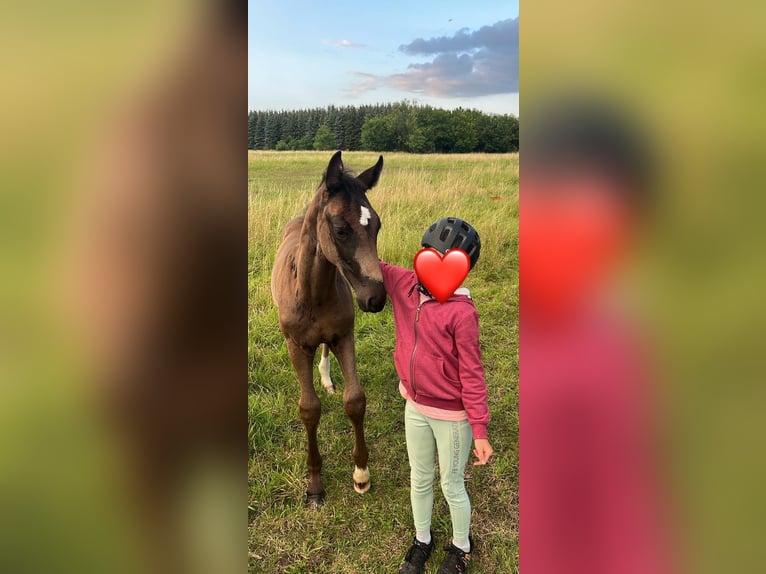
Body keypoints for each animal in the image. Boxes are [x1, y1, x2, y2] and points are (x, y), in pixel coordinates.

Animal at [271, 151, 386, 507]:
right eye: (340, 229)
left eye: (377, 225)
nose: (376, 298)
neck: (313, 293)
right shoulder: (296, 345)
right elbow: (309, 409)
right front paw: (315, 485)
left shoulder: (344, 336)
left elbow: (356, 400)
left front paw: (361, 474)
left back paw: (325, 377)